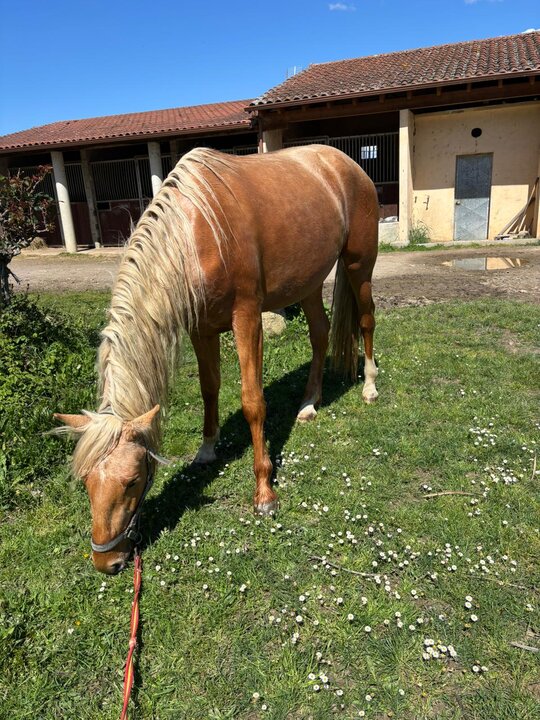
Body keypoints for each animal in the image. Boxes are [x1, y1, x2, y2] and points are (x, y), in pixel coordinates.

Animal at [54, 144, 379, 574]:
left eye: (133, 480)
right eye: (87, 481)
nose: (107, 561)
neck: (194, 235)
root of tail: (346, 164)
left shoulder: (247, 318)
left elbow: (253, 402)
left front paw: (264, 494)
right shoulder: (201, 328)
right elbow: (209, 389)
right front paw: (207, 450)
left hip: (360, 266)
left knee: (366, 320)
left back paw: (370, 387)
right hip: (308, 282)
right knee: (320, 333)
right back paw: (309, 403)